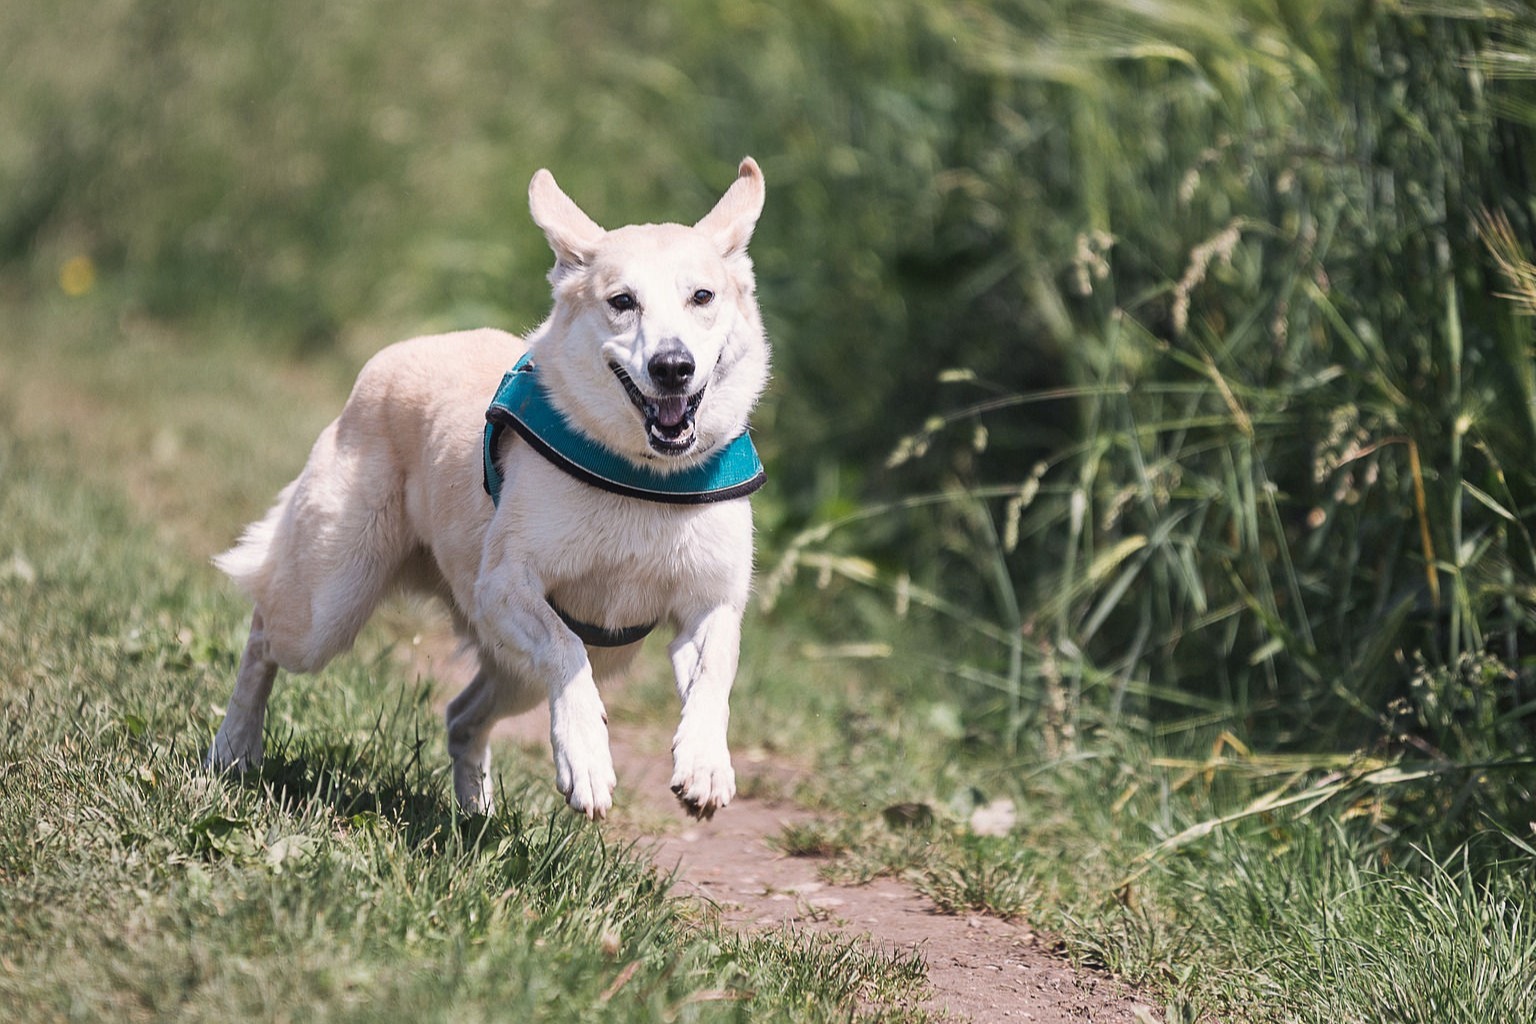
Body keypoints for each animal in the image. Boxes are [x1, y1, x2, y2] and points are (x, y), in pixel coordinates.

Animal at [207, 156, 768, 822]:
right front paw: (586, 760)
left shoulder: (709, 605)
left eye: (702, 296)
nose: (673, 366)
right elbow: (566, 651)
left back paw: (476, 813)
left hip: (512, 672)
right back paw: (233, 748)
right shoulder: (505, 586)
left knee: (461, 715)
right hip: (327, 607)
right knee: (264, 634)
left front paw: (705, 765)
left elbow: (715, 675)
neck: (643, 478)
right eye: (622, 301)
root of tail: (394, 355)